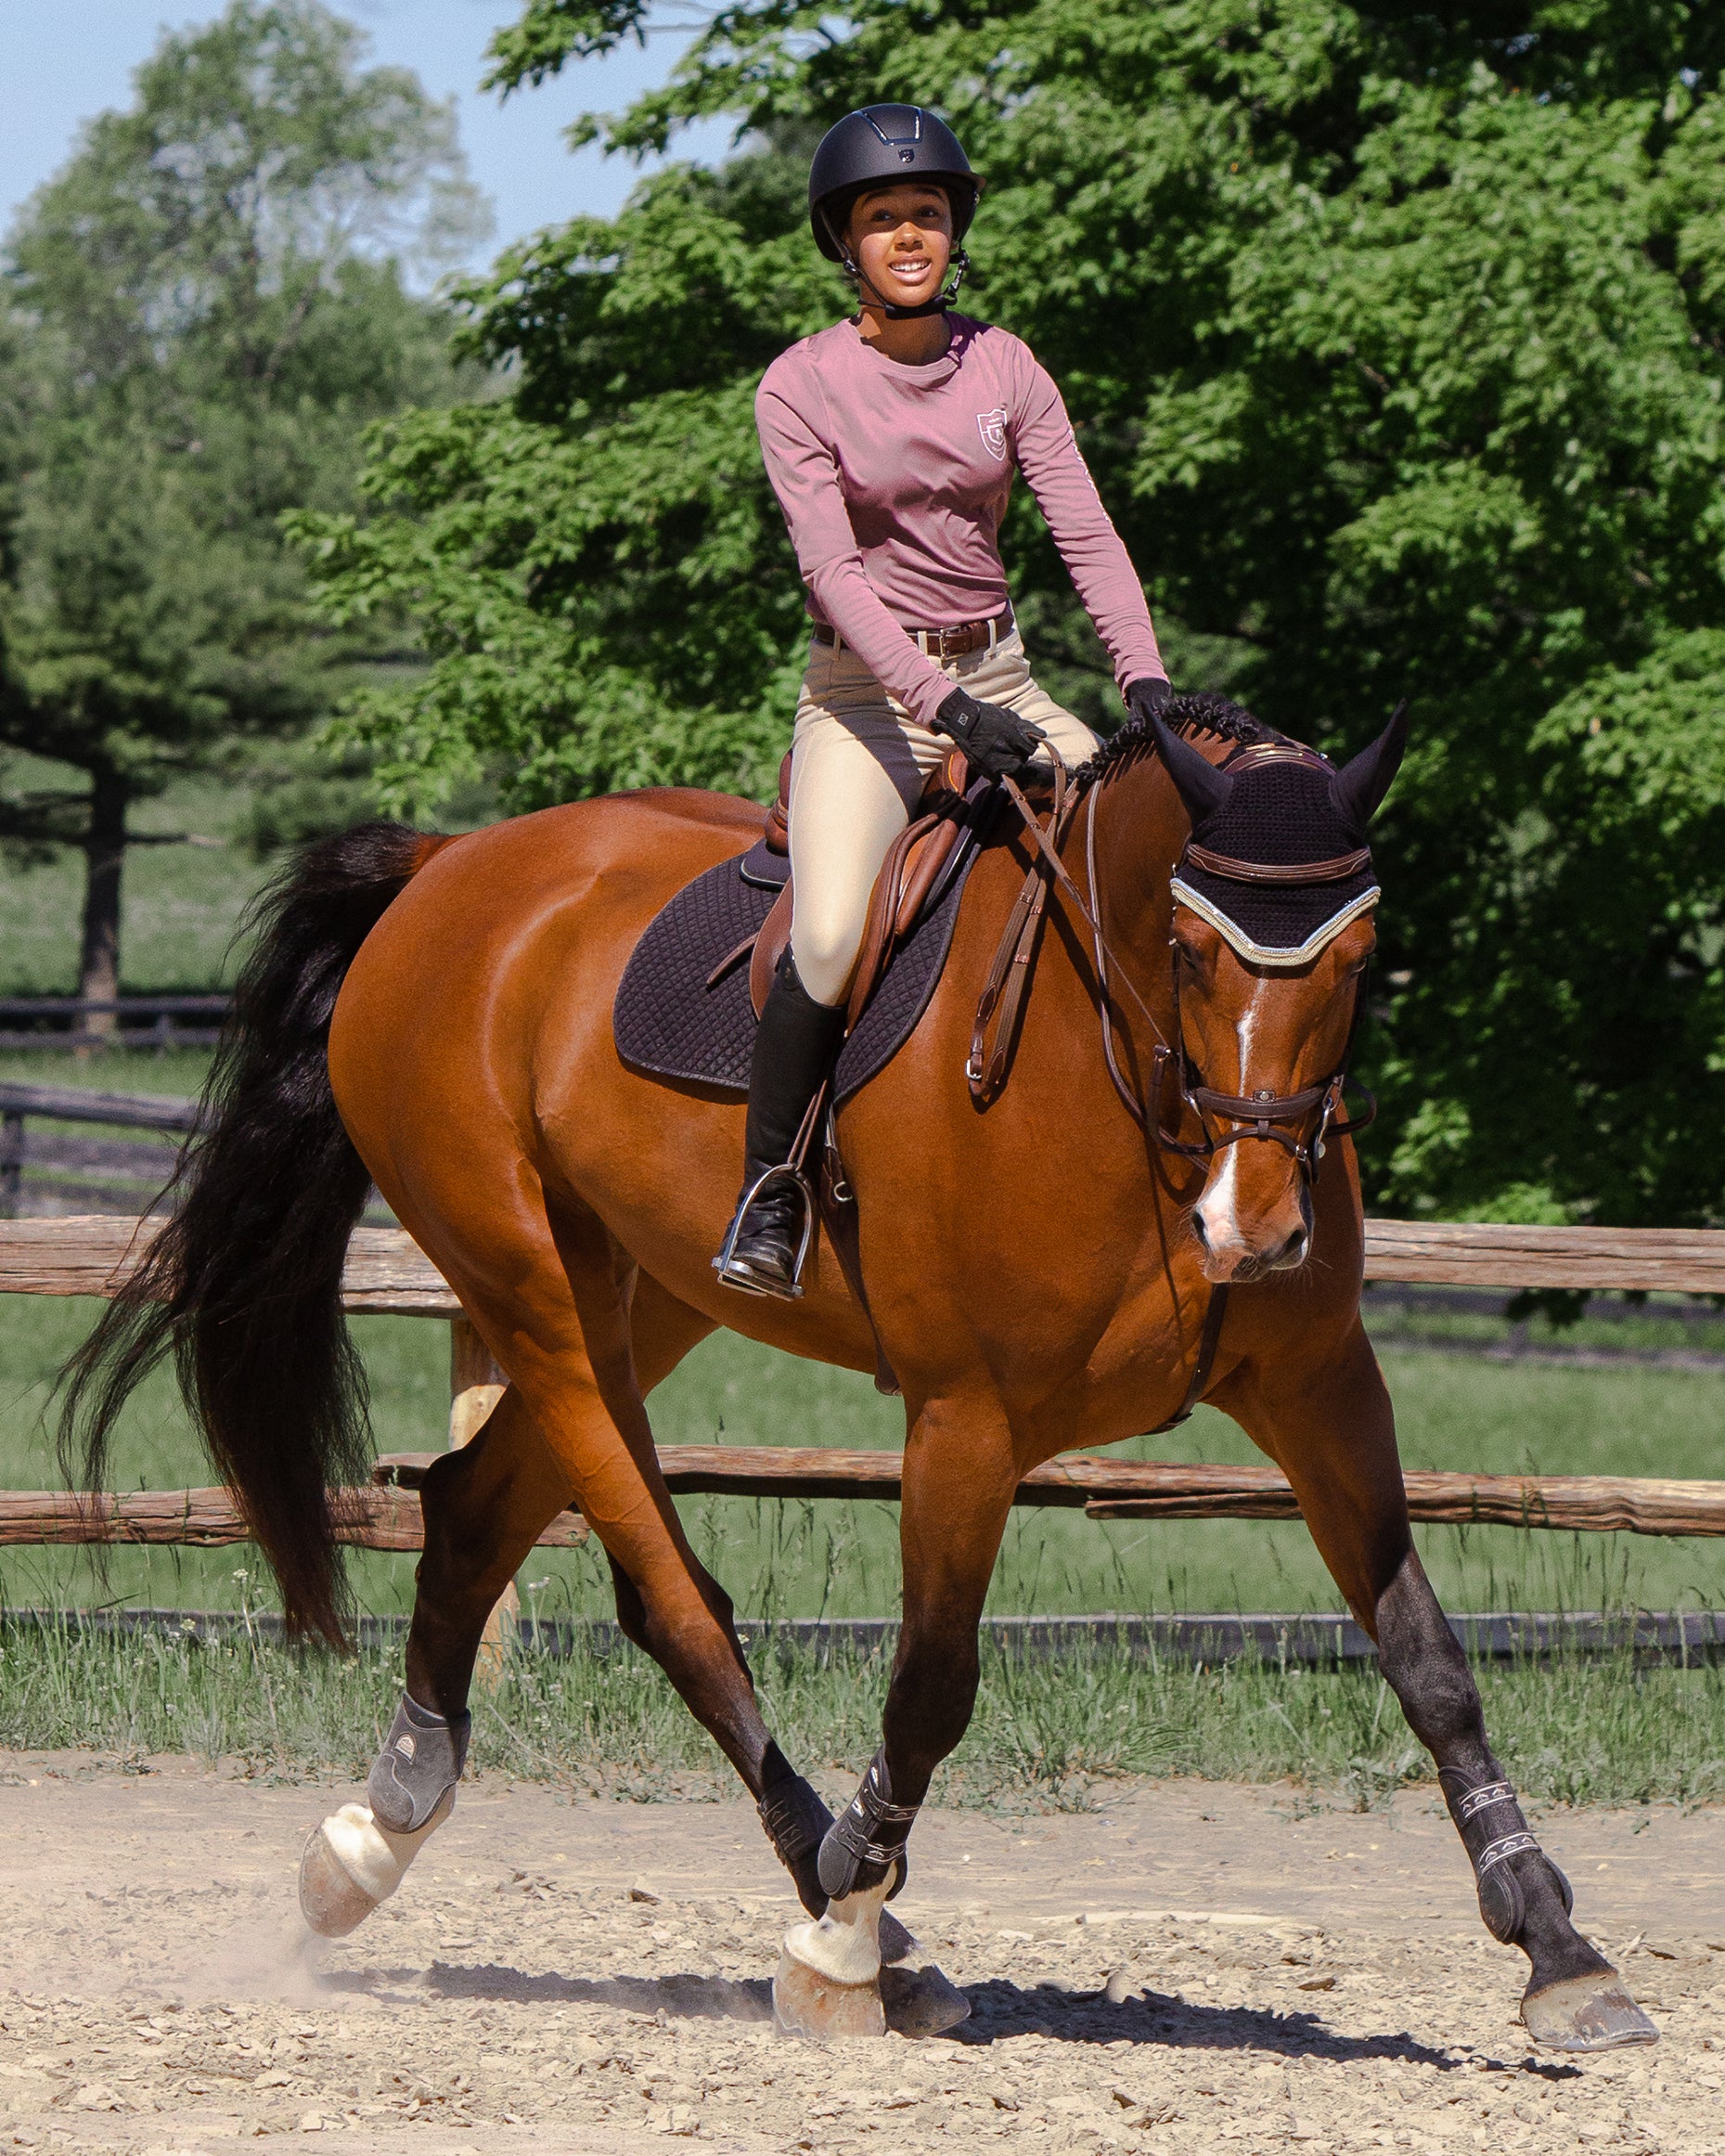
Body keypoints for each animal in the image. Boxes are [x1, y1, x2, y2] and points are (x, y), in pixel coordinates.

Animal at [61, 693, 1653, 2053]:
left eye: (1358, 956)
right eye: (1192, 949)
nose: (1251, 1227)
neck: (1119, 1078)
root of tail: (451, 866)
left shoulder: (1321, 1389)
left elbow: (1426, 1657)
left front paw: (1560, 1951)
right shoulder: (965, 1420)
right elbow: (930, 1682)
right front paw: (835, 1946)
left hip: (640, 1293)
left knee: (470, 1500)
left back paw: (373, 1836)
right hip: (534, 1290)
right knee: (669, 1597)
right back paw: (845, 1909)